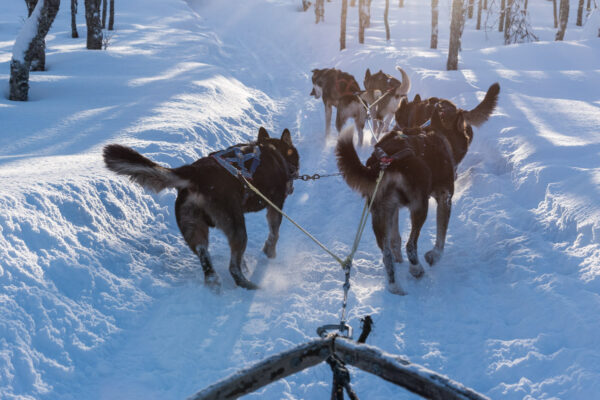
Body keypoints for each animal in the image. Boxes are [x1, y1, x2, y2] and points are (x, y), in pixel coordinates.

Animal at [105, 127, 300, 290]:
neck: (273, 151)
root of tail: (195, 173)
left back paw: (214, 282)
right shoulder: (275, 206)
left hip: (193, 227)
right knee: (233, 267)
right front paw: (269, 252)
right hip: (238, 229)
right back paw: (248, 285)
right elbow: (274, 233)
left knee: (205, 257)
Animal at [338, 83, 502, 294]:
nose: (468, 134)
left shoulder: (393, 210)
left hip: (379, 214)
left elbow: (394, 240)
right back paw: (416, 269)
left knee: (386, 253)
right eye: (465, 132)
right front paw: (434, 255)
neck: (440, 134)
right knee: (411, 245)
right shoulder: (445, 197)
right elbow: (441, 236)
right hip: (419, 207)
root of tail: (387, 161)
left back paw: (394, 285)